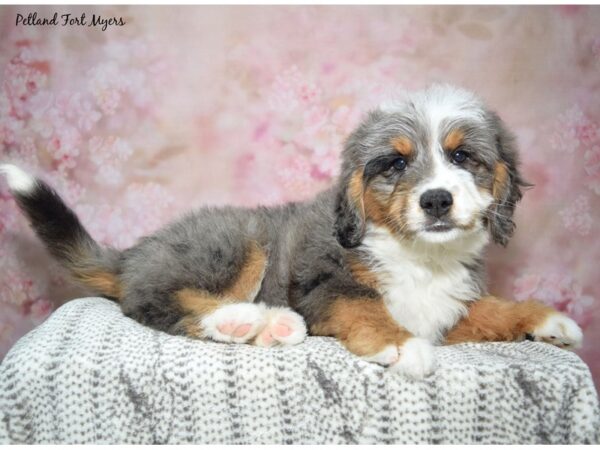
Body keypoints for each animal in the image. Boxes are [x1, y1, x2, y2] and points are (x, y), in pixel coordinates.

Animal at [0, 83, 580, 376]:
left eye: (462, 156)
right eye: (394, 164)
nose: (436, 200)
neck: (419, 258)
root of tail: (135, 251)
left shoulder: (446, 308)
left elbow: (491, 309)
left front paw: (547, 320)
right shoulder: (325, 287)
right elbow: (365, 305)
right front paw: (401, 346)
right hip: (239, 242)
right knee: (153, 301)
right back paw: (249, 321)